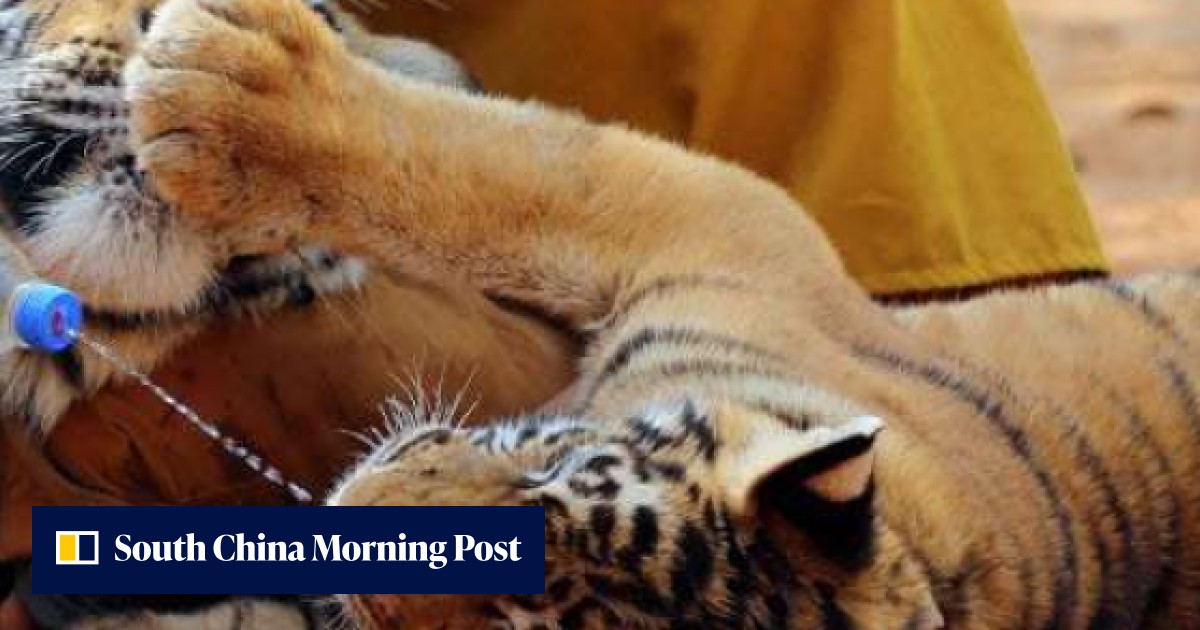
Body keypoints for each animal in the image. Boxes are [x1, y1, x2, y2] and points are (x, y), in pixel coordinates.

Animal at [108, 0, 1200, 627]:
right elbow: (502, 165)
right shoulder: (720, 230)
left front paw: (216, 83)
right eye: (545, 473)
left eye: (518, 627)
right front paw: (239, 80)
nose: (348, 522)